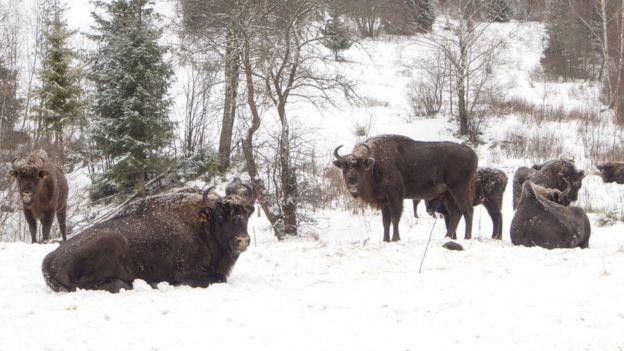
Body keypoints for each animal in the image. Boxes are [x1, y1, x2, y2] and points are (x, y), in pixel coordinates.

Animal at [42, 184, 255, 294]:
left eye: (246, 214)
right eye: (220, 216)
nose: (242, 240)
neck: (203, 226)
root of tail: (49, 259)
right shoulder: (187, 273)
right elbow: (217, 279)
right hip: (111, 243)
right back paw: (132, 285)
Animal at [332, 135, 478, 242]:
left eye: (360, 165)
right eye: (344, 166)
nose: (352, 180)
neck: (375, 163)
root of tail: (471, 152)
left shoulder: (395, 197)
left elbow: (395, 218)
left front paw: (395, 239)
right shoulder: (384, 201)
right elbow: (386, 221)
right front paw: (385, 240)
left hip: (459, 189)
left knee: (467, 211)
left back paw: (466, 237)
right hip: (449, 193)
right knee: (456, 214)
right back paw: (447, 237)